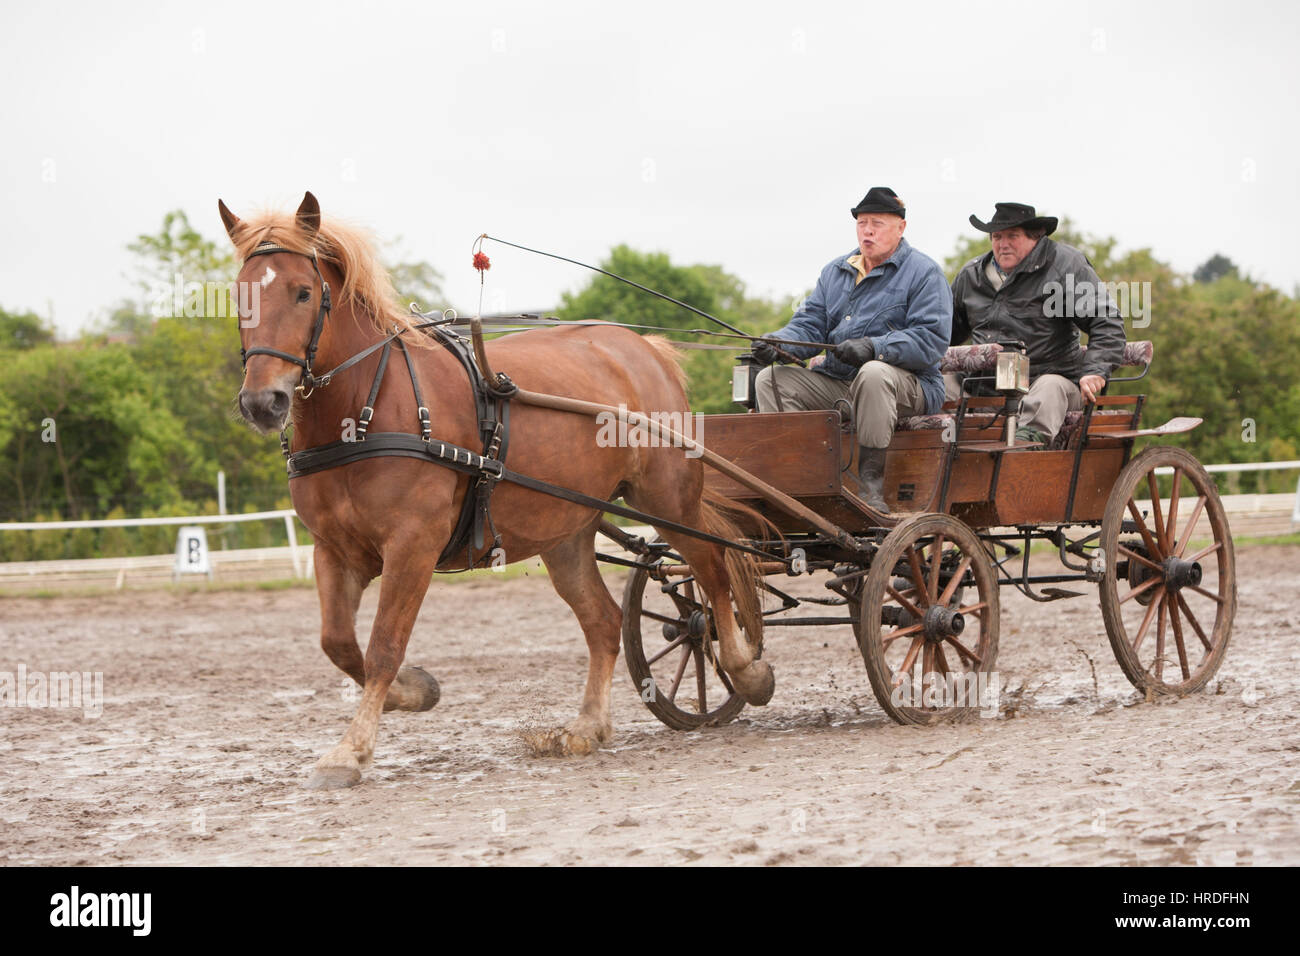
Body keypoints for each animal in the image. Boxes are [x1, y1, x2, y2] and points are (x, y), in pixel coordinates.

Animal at [219, 192, 774, 789]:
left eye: (303, 291)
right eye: (239, 295)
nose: (263, 402)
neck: (367, 408)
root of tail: (640, 347)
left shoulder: (412, 546)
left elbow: (384, 646)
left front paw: (351, 750)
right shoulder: (334, 549)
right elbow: (340, 644)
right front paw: (415, 691)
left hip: (668, 499)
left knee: (712, 571)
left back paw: (745, 670)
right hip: (566, 529)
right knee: (603, 621)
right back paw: (588, 725)